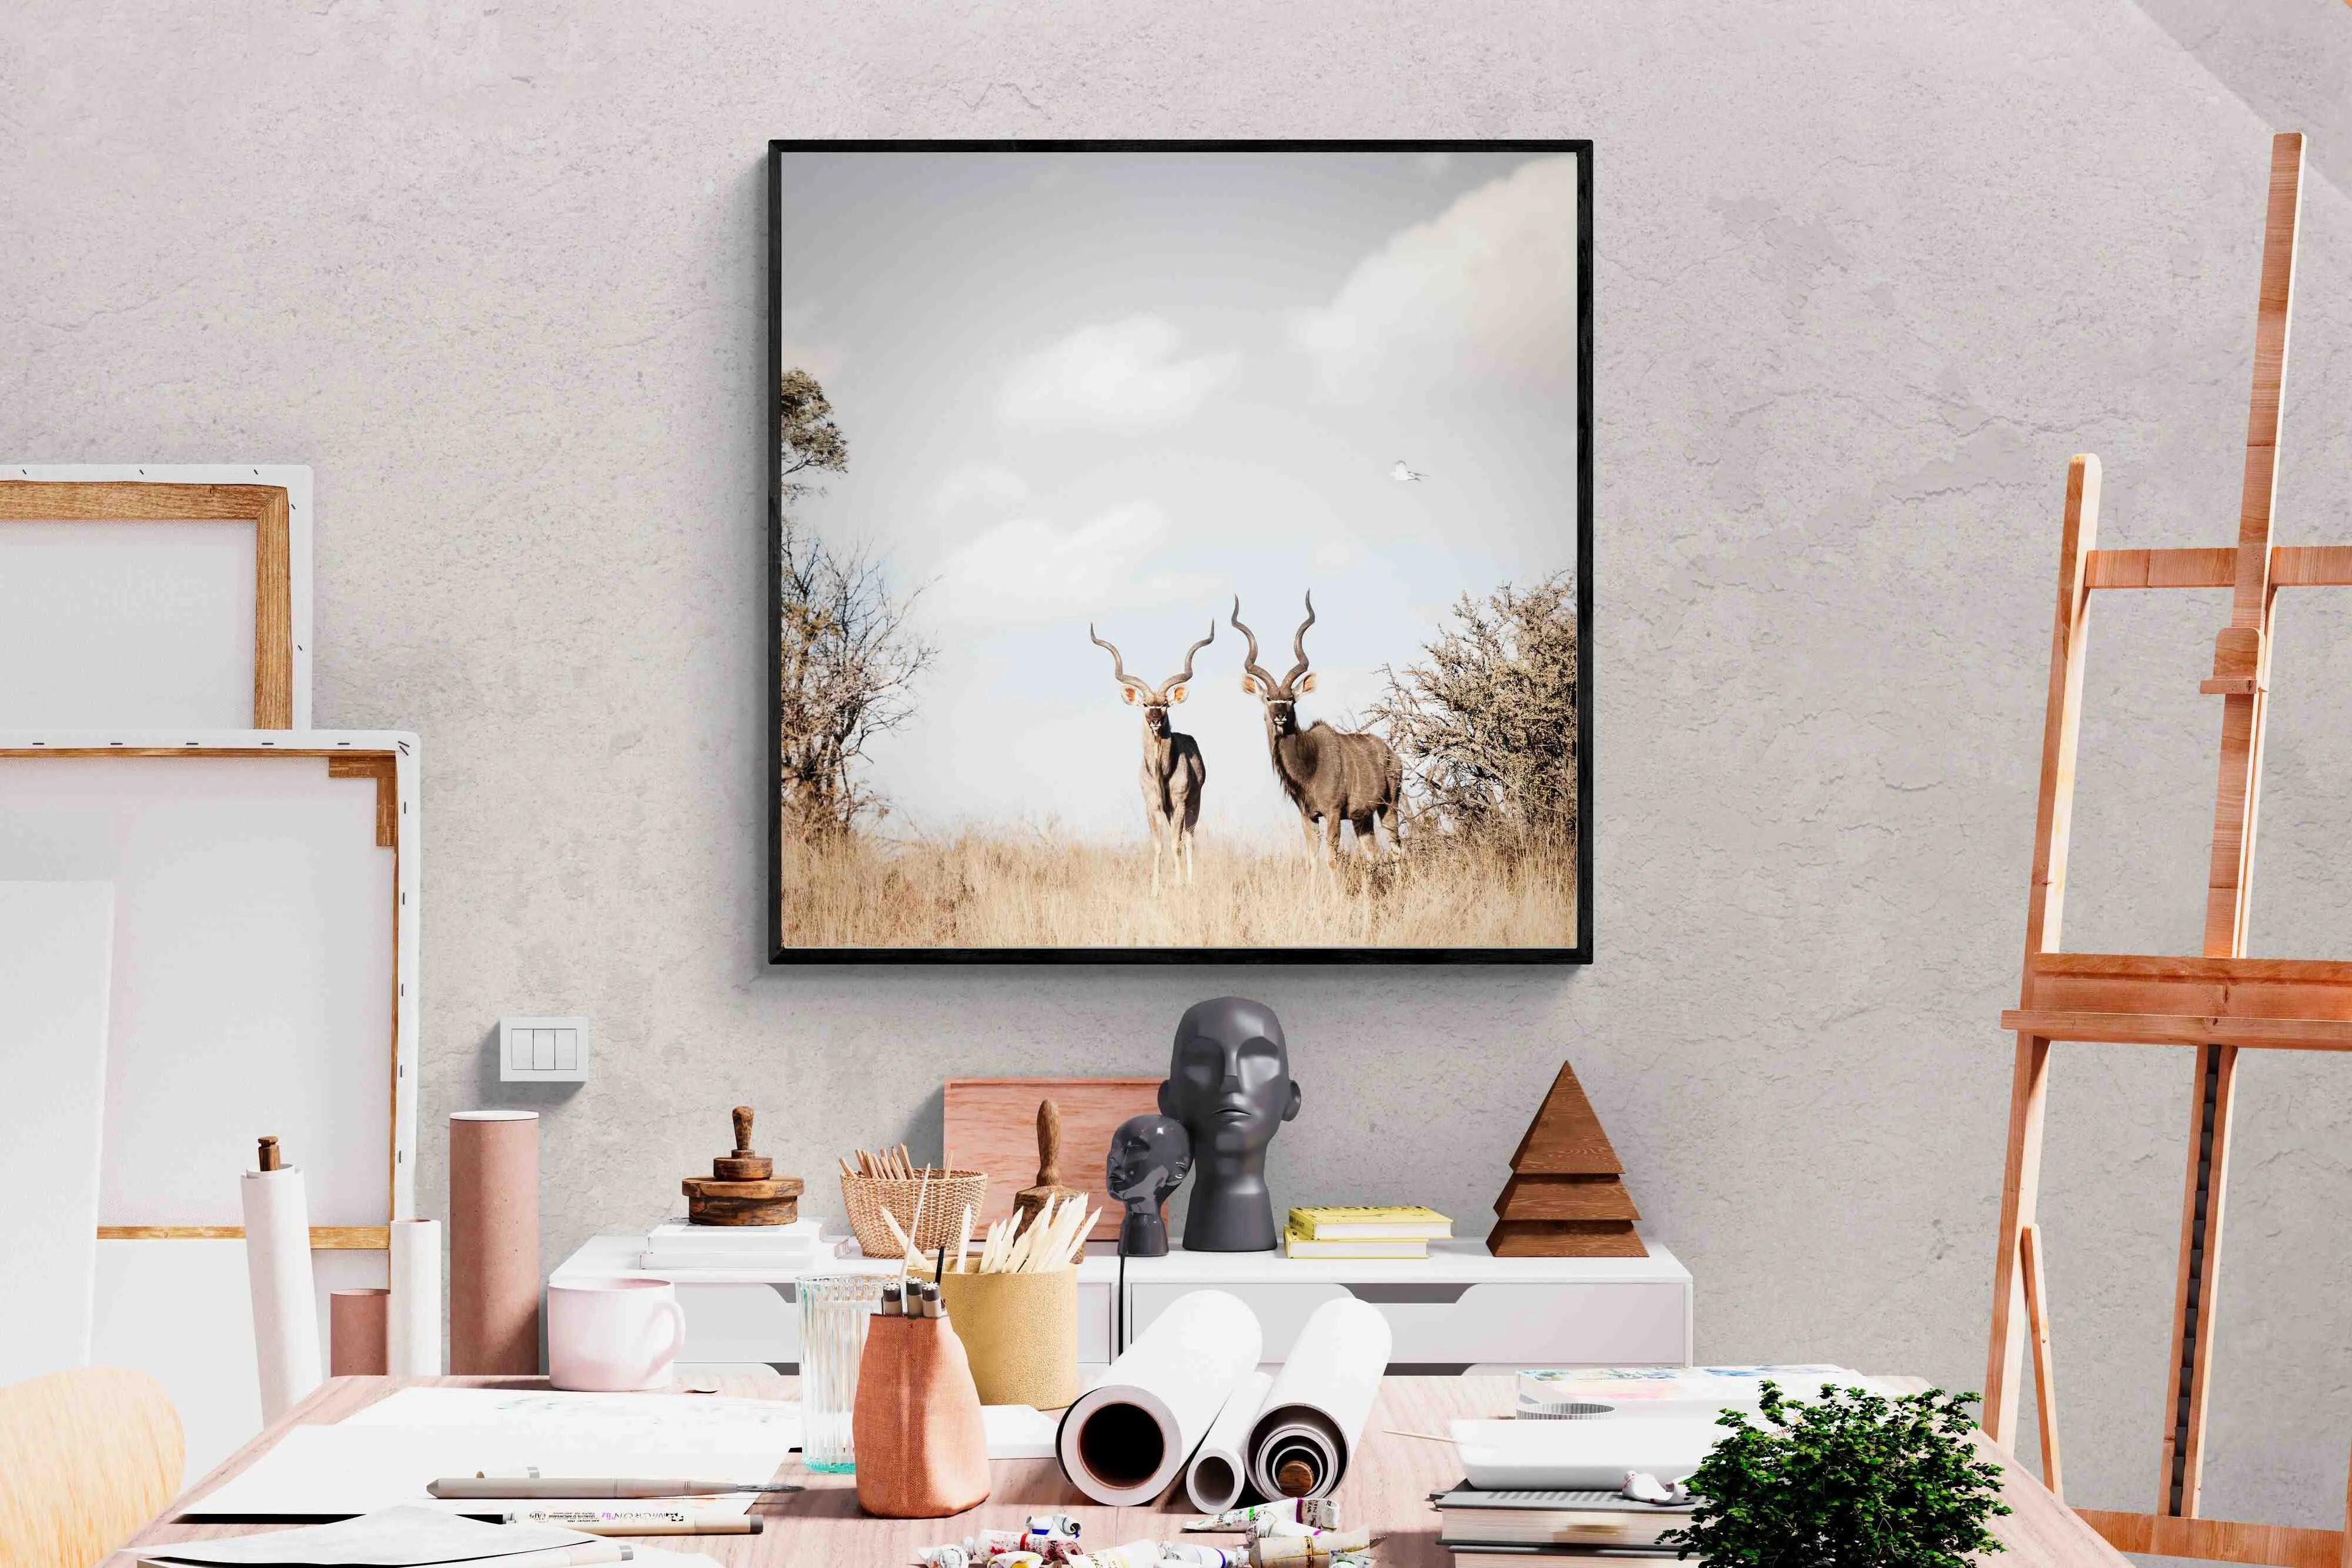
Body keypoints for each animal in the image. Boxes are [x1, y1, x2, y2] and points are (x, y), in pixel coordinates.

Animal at [1089, 621, 1215, 895]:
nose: (1156, 720)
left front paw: (1178, 885)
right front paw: (1155, 890)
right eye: (1146, 705)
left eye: (1165, 704)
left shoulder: (1179, 804)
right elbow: (1158, 846)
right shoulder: (1153, 806)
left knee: (1188, 840)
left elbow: (1176, 844)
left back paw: (1190, 882)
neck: (1161, 772)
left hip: (1194, 805)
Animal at [1231, 593, 1403, 874]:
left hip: (1390, 806)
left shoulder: (1333, 813)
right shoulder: (1308, 816)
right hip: (1363, 819)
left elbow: (1332, 860)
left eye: (1291, 699)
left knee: (1397, 849)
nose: (1280, 716)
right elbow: (1312, 860)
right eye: (1269, 698)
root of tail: (1392, 755)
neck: (1310, 765)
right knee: (1374, 854)